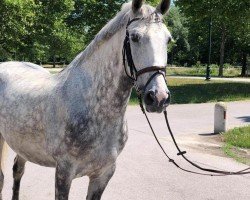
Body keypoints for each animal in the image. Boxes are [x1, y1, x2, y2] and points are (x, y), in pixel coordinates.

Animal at [0, 0, 172, 199]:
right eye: (135, 37)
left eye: (168, 39)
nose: (158, 97)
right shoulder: (64, 171)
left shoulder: (104, 173)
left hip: (23, 145)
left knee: (17, 171)